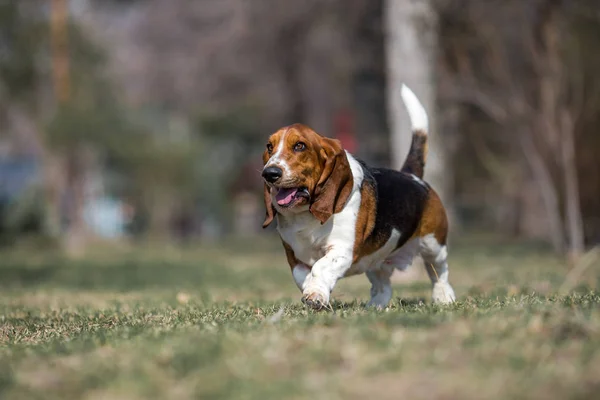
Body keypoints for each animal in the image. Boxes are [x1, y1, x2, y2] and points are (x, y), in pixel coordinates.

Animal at [258, 83, 454, 310]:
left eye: (300, 146)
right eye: (269, 147)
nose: (269, 173)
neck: (306, 214)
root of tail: (411, 175)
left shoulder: (342, 248)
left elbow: (321, 266)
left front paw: (315, 295)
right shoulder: (294, 255)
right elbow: (303, 276)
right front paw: (314, 291)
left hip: (433, 244)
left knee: (438, 272)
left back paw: (444, 297)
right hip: (376, 260)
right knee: (383, 286)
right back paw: (375, 307)